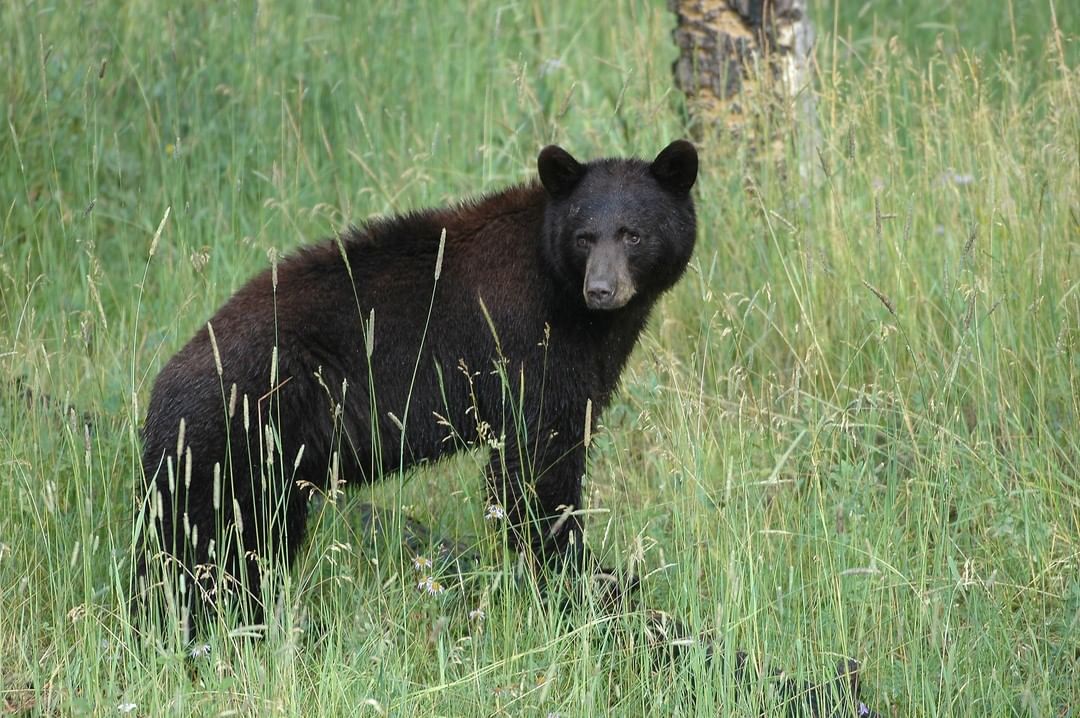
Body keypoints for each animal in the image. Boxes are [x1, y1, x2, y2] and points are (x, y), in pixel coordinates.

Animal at [135, 138, 699, 626]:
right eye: (584, 237)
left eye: (633, 234)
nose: (601, 289)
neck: (569, 298)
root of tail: (159, 395)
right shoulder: (528, 343)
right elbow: (537, 462)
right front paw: (582, 572)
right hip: (231, 443)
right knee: (199, 545)